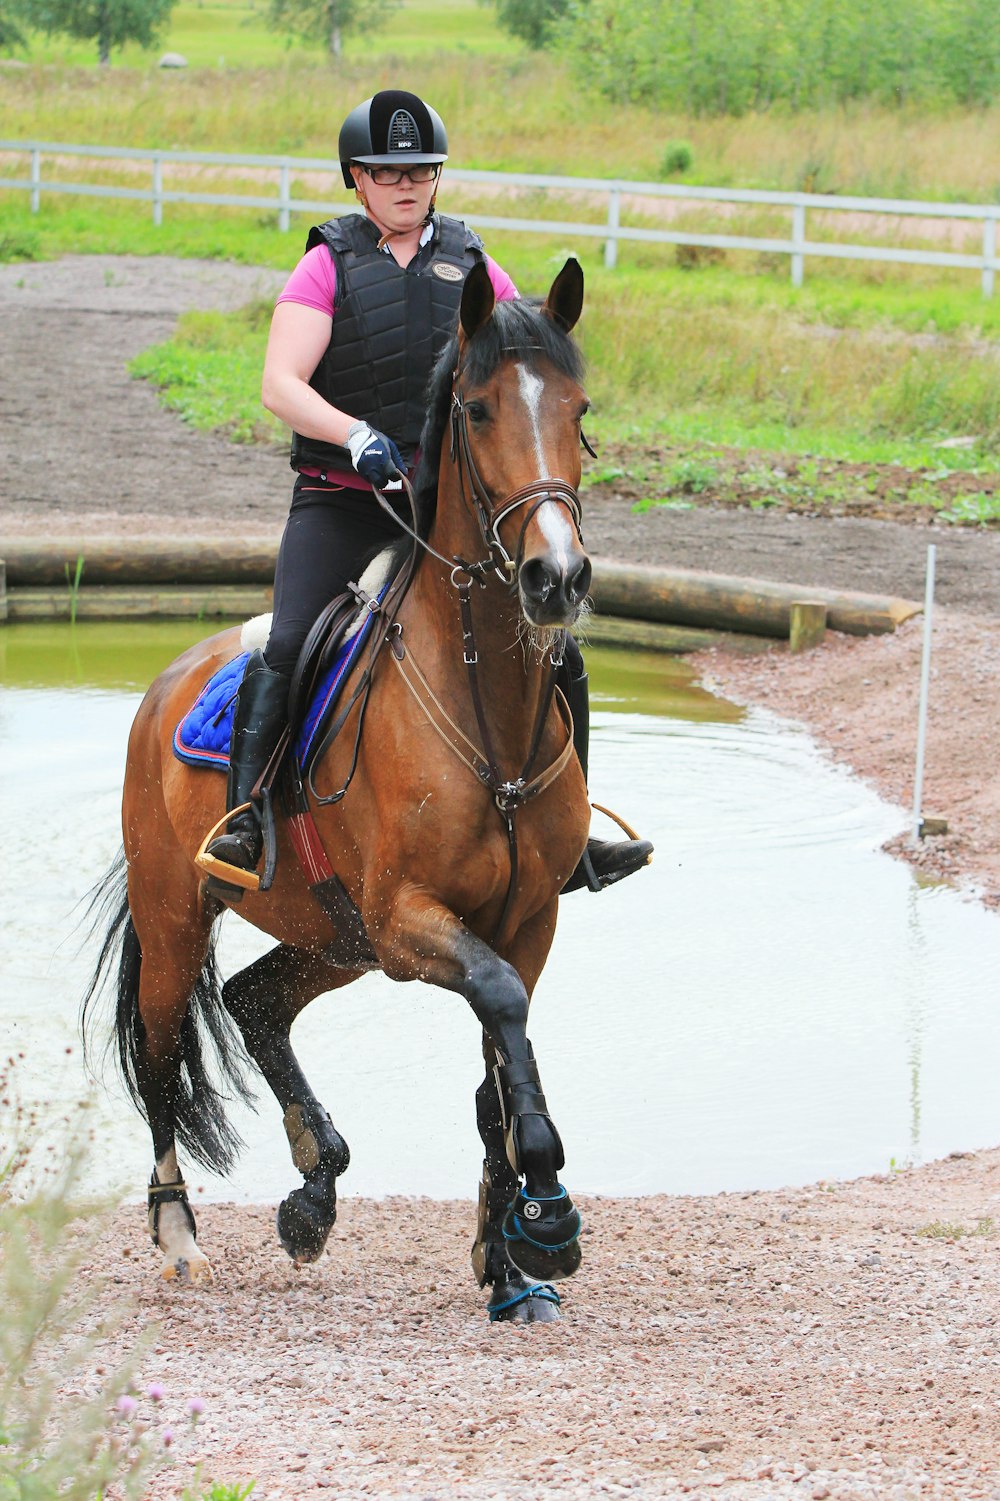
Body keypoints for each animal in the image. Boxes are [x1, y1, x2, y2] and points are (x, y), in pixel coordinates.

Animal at [83, 258, 591, 1326]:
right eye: (478, 409)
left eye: (580, 409)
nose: (557, 577)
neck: (487, 714)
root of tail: (166, 682)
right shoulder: (409, 918)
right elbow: (500, 1014)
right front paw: (547, 1205)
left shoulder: (524, 920)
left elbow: (501, 1053)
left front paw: (508, 1257)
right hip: (181, 914)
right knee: (158, 1053)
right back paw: (179, 1232)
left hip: (333, 933)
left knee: (255, 999)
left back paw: (314, 1187)